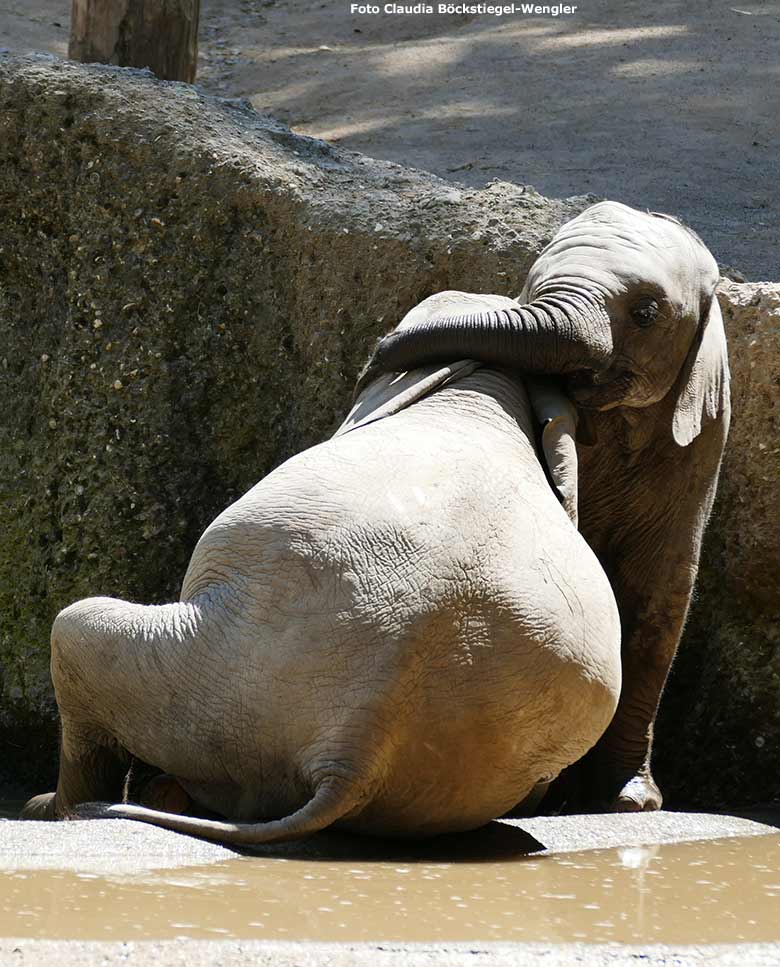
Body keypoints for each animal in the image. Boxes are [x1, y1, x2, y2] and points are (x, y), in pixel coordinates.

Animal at [360, 200, 732, 812]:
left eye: (646, 313)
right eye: (533, 288)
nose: (379, 351)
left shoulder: (698, 449)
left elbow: (657, 599)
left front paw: (630, 803)